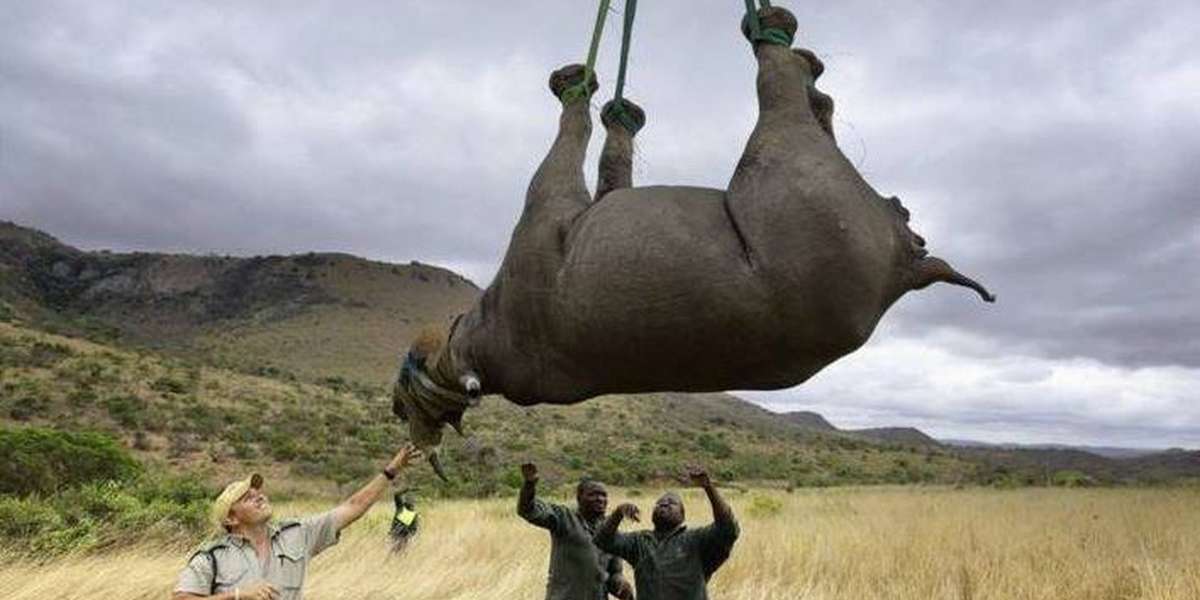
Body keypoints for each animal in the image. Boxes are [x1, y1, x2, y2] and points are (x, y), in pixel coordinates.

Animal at [393, 6, 993, 478]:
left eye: (409, 400)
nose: (401, 415)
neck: (472, 348)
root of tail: (908, 266)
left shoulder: (546, 219)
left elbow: (591, 156)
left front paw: (602, 102)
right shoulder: (548, 220)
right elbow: (580, 145)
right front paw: (585, 93)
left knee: (793, 87)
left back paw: (781, 38)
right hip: (794, 164)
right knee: (787, 89)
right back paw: (785, 41)